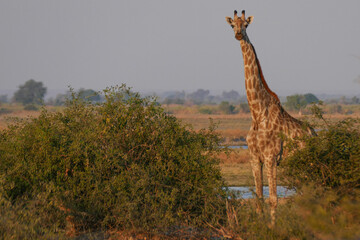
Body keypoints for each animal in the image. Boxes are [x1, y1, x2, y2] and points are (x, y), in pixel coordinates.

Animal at [226, 9, 314, 223]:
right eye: (232, 25)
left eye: (246, 25)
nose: (238, 35)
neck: (258, 112)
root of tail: (315, 134)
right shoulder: (254, 157)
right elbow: (259, 197)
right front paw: (261, 225)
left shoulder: (271, 156)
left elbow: (273, 199)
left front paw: (272, 227)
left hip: (308, 163)